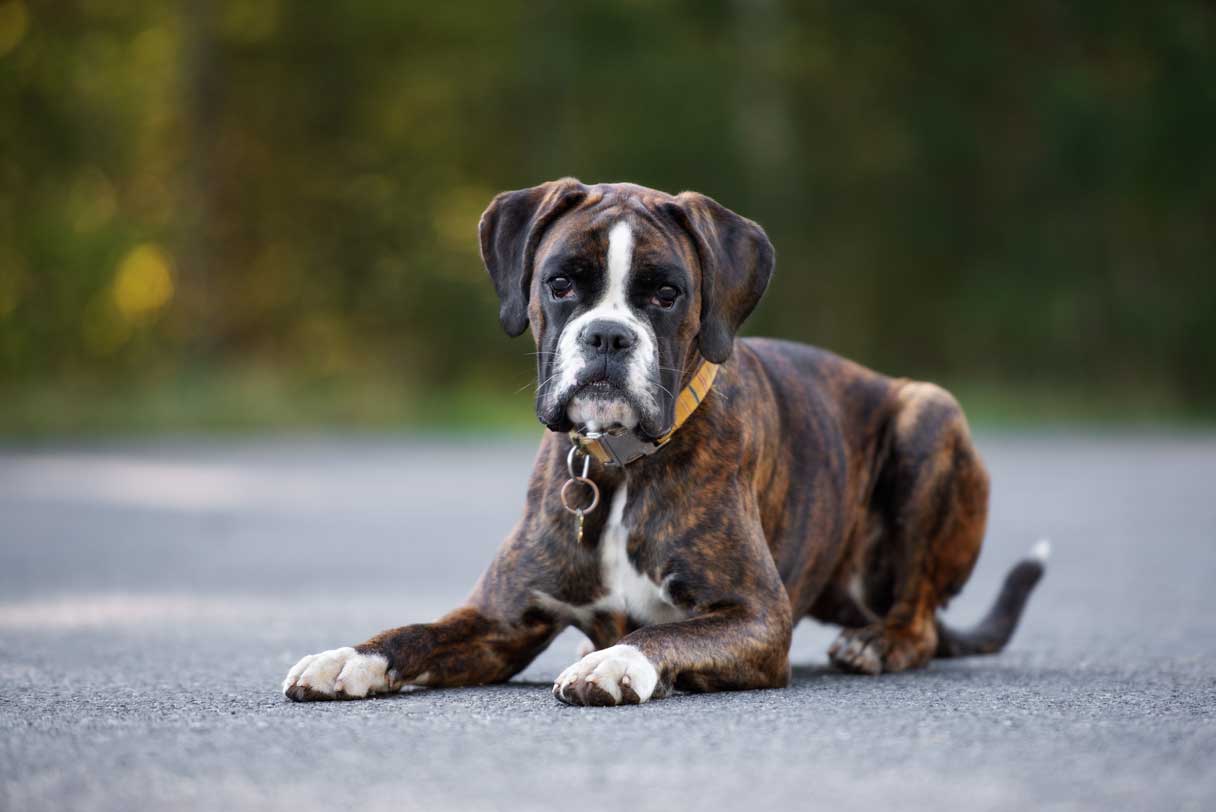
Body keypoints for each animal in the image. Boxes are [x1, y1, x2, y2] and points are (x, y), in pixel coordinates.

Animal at [284, 177, 1045, 705]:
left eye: (666, 293)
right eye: (560, 283)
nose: (607, 335)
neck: (618, 468)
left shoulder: (756, 617)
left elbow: (663, 631)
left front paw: (614, 662)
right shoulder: (498, 622)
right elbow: (414, 633)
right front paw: (346, 657)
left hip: (929, 412)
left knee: (919, 619)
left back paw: (878, 644)